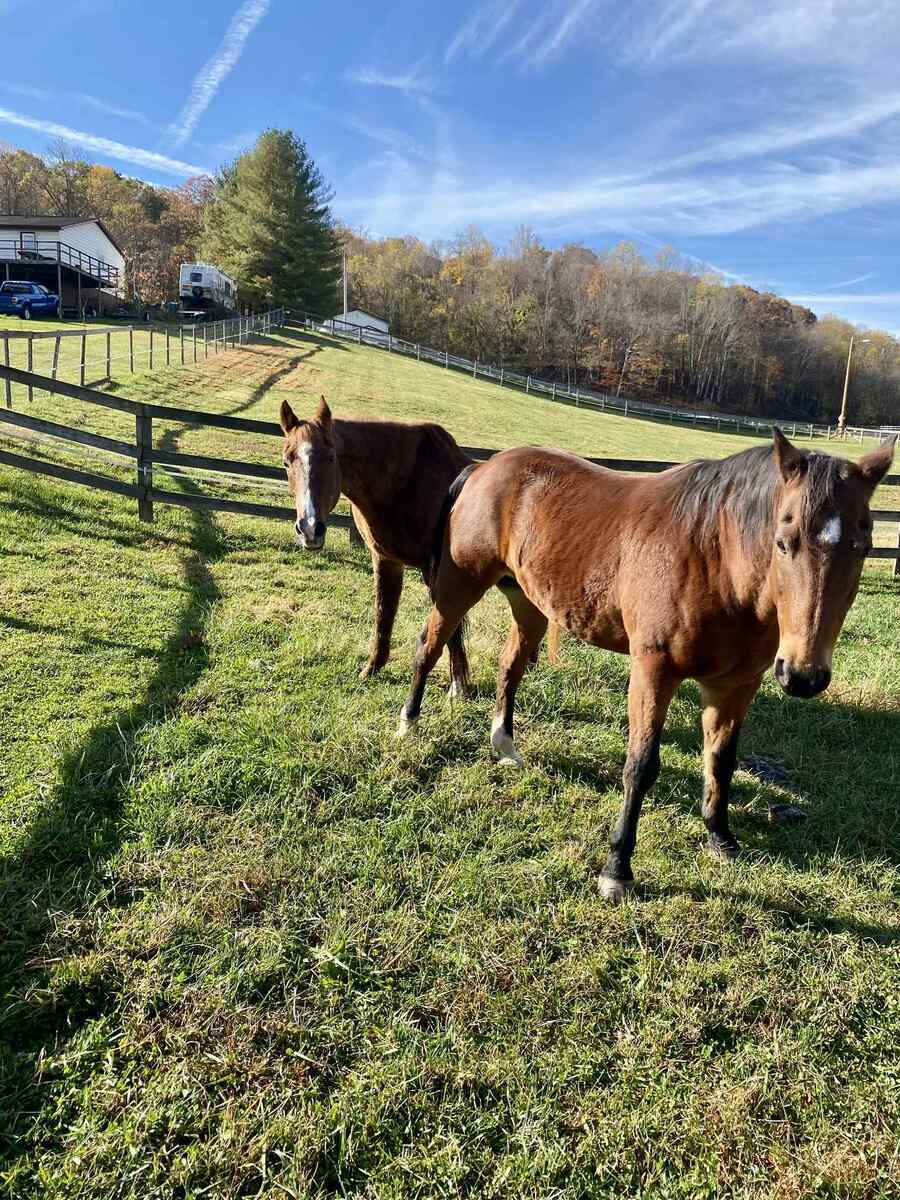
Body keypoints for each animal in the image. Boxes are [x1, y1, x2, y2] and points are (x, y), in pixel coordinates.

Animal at [395, 430, 895, 901]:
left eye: (863, 545)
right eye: (783, 542)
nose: (803, 676)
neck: (714, 559)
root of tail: (483, 468)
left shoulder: (735, 684)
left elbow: (721, 759)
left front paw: (720, 838)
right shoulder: (654, 671)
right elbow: (641, 765)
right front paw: (617, 870)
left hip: (529, 602)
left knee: (509, 667)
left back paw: (504, 744)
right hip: (459, 585)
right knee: (429, 647)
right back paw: (409, 724)